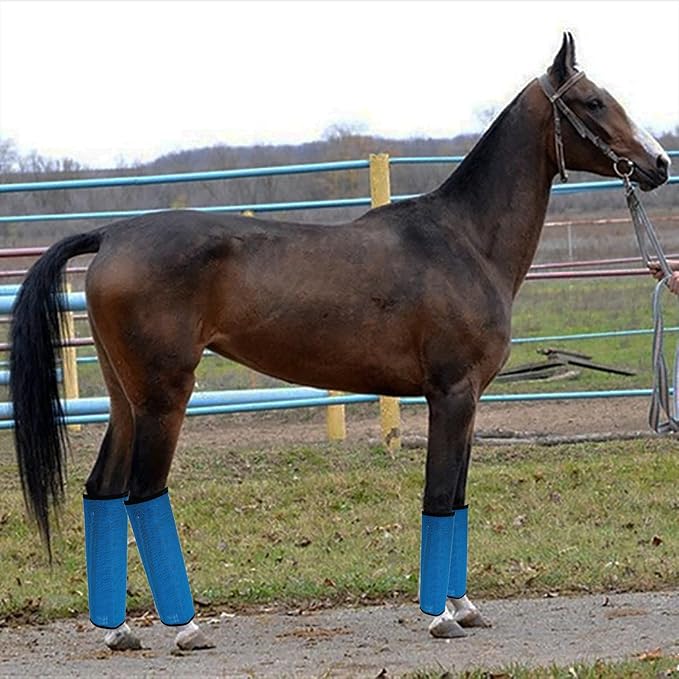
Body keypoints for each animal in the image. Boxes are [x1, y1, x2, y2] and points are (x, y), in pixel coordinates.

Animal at [9, 34, 670, 651]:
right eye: (594, 101)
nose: (659, 163)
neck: (464, 241)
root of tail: (113, 234)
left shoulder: (471, 400)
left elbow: (457, 499)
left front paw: (464, 608)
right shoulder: (450, 395)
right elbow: (439, 498)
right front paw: (439, 618)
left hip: (126, 400)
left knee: (102, 490)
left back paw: (118, 630)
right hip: (163, 399)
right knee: (142, 495)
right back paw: (186, 627)